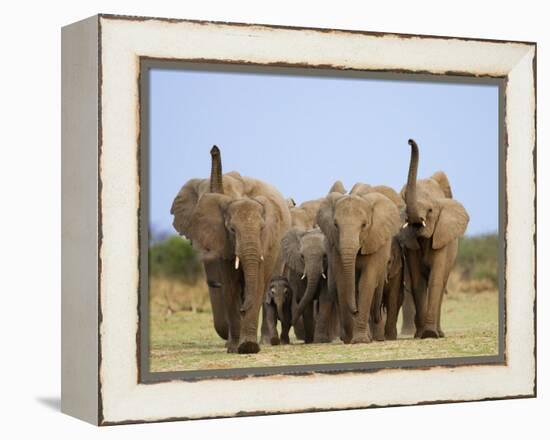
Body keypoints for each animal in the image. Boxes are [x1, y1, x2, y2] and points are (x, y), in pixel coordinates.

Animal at [171, 146, 294, 352]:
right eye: (231, 229)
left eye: (262, 229)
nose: (214, 149)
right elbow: (229, 287)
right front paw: (235, 347)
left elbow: (256, 285)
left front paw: (249, 347)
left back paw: (265, 341)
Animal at [316, 182, 404, 344]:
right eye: (335, 225)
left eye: (364, 225)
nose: (355, 310)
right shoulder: (335, 246)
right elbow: (343, 282)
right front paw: (353, 339)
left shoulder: (373, 240)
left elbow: (366, 282)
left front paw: (360, 340)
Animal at [402, 139, 470, 338]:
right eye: (403, 201)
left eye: (431, 210)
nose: (409, 141)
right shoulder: (410, 244)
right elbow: (417, 282)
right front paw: (421, 335)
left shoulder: (442, 237)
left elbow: (435, 279)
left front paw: (430, 334)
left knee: (442, 283)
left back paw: (439, 333)